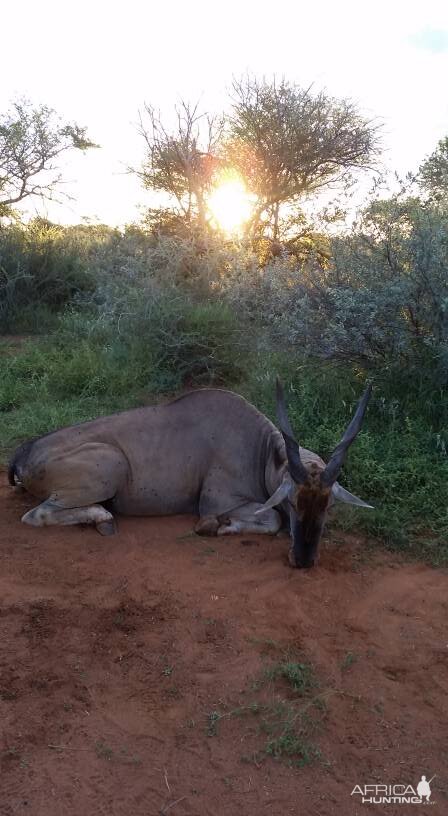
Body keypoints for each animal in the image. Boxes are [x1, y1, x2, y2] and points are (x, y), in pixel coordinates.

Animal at [7, 380, 372, 568]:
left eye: (328, 505)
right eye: (294, 502)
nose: (305, 559)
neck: (262, 450)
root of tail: (24, 455)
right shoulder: (215, 502)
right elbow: (272, 520)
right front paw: (219, 527)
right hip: (113, 464)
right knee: (36, 515)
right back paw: (102, 516)